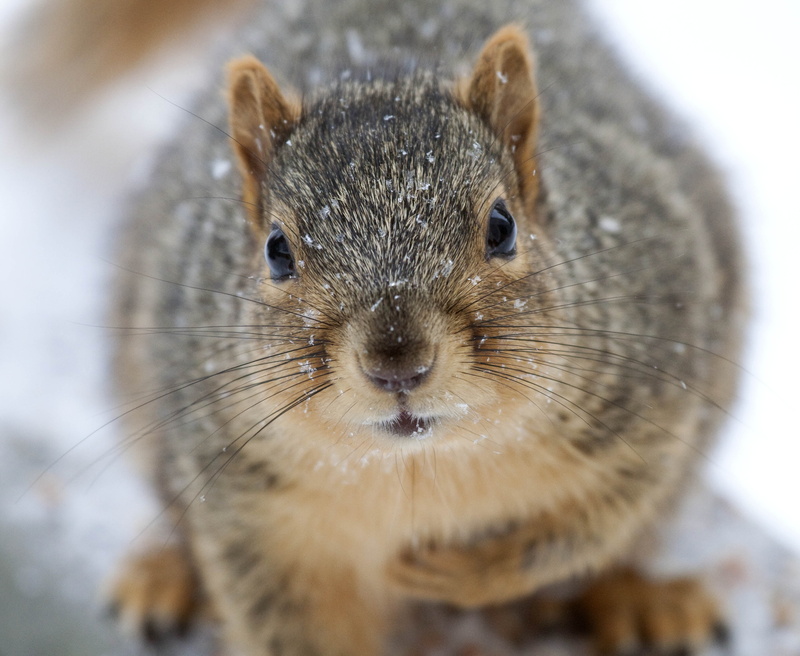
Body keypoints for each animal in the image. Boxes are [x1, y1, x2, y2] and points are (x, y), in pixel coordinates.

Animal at [102, 0, 746, 654]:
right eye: (277, 250)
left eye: (502, 227)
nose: (398, 364)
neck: (420, 466)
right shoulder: (249, 519)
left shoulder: (651, 402)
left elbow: (592, 523)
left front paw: (461, 570)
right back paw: (163, 574)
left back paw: (641, 599)